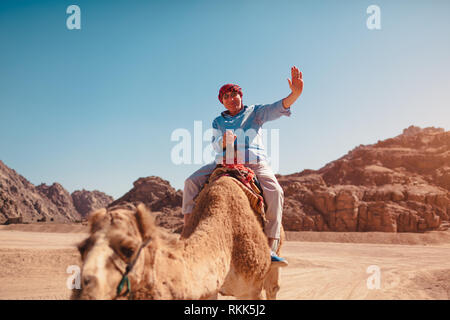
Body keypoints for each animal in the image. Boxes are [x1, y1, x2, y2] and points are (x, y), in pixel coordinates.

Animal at [73, 175, 284, 300]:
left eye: (129, 249)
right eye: (81, 248)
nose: (82, 290)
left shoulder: (252, 288)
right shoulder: (209, 288)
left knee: (273, 287)